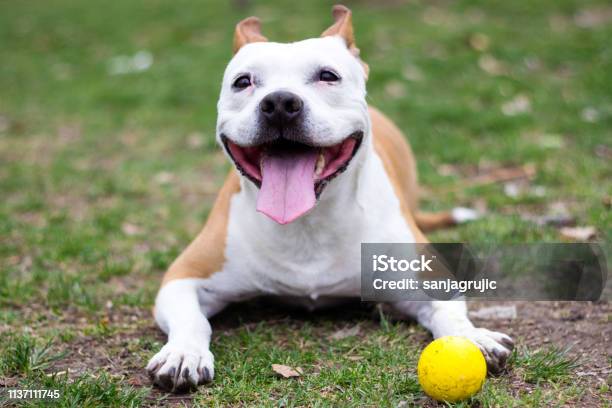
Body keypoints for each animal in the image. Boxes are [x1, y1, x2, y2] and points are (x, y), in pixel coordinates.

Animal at [146, 3, 512, 392]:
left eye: (328, 76)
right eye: (243, 82)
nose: (280, 102)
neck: (309, 222)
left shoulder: (429, 277)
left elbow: (450, 313)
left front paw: (473, 337)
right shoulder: (184, 276)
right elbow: (192, 319)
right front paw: (183, 352)